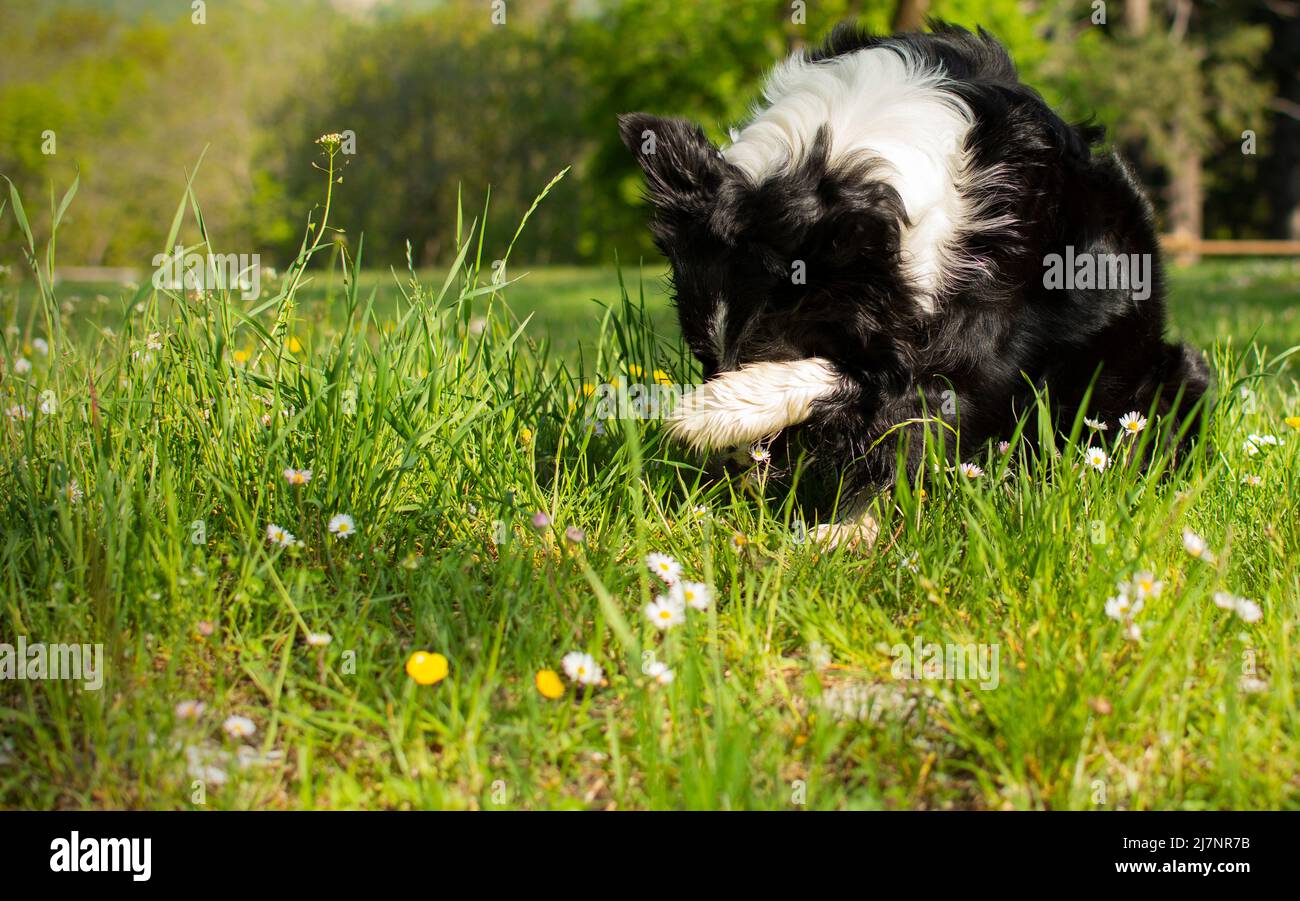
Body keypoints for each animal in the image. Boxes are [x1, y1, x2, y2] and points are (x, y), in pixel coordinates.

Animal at [616, 21, 1206, 543]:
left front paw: (719, 414)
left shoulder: (978, 352)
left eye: (769, 353)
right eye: (701, 355)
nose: (737, 466)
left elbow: (886, 401)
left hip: (1163, 377)